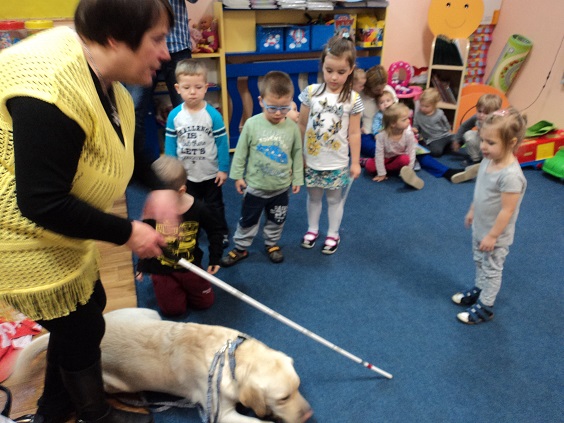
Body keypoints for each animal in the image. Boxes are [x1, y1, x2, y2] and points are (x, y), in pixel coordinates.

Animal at [11, 308, 313, 423]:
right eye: (283, 397)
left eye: (299, 388)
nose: (309, 414)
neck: (232, 357)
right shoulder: (222, 415)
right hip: (114, 383)